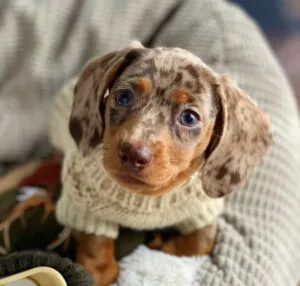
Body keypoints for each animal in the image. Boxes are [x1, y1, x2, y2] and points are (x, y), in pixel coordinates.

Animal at [55, 41, 274, 284]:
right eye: (123, 97)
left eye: (189, 117)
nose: (133, 153)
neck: (147, 198)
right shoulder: (84, 206)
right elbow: (95, 251)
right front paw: (100, 269)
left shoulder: (203, 210)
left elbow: (202, 242)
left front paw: (164, 246)